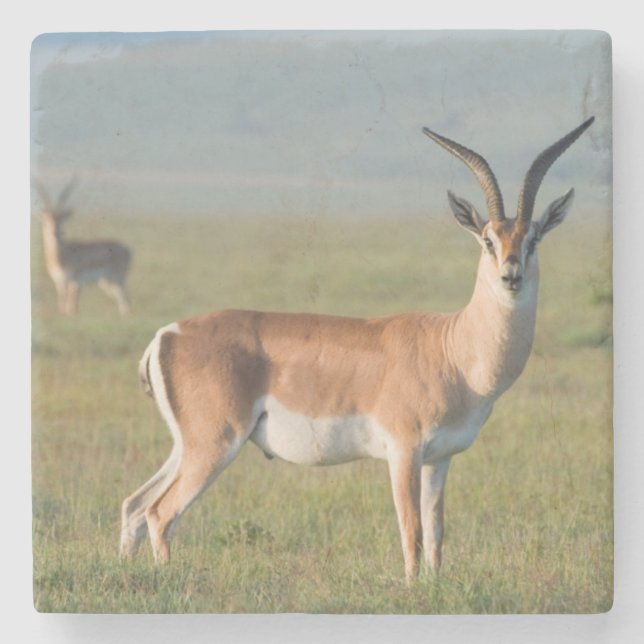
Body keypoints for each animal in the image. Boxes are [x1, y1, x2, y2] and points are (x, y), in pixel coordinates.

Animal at [36, 180, 132, 316]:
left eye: (61, 218)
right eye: (46, 219)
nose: (54, 232)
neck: (62, 256)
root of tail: (126, 248)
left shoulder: (75, 281)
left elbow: (72, 307)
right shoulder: (59, 282)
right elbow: (62, 303)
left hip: (117, 278)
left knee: (125, 298)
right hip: (106, 281)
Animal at [120, 117, 594, 581]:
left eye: (533, 238)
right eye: (487, 239)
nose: (511, 276)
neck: (454, 350)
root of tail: (168, 334)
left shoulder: (439, 459)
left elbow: (436, 534)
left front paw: (436, 588)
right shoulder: (403, 450)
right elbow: (411, 531)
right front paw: (412, 590)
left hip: (187, 445)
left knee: (135, 505)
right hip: (216, 442)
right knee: (161, 512)